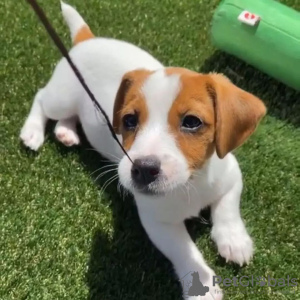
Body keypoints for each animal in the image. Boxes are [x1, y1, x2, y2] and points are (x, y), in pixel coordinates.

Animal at [20, 2, 264, 300]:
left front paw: (234, 239)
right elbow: (186, 252)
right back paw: (32, 132)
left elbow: (228, 206)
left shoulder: (231, 174)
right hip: (61, 96)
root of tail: (87, 40)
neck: (192, 182)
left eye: (192, 122)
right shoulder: (157, 221)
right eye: (129, 120)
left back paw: (66, 132)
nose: (143, 170)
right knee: (42, 97)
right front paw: (203, 286)